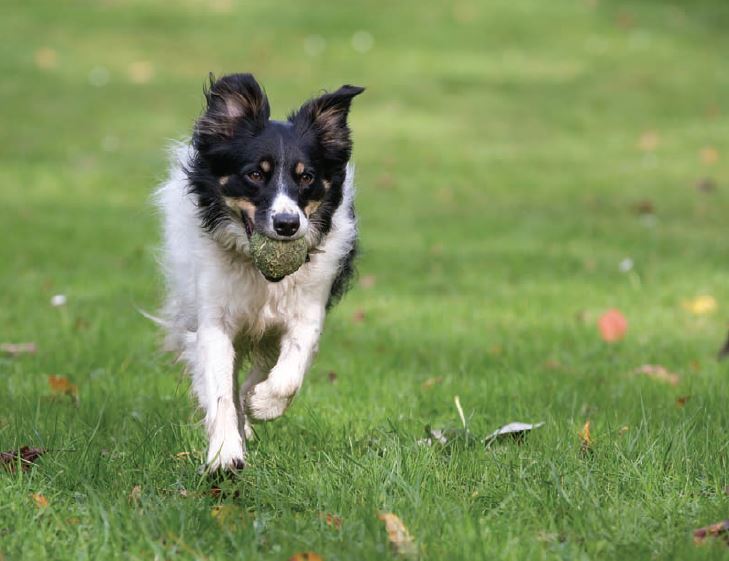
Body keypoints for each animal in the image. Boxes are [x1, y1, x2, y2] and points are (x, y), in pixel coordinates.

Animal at [157, 73, 366, 468]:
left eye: (307, 177)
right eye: (254, 174)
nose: (287, 224)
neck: (261, 275)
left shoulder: (307, 311)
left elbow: (290, 371)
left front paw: (264, 404)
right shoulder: (214, 319)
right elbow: (220, 388)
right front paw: (225, 454)